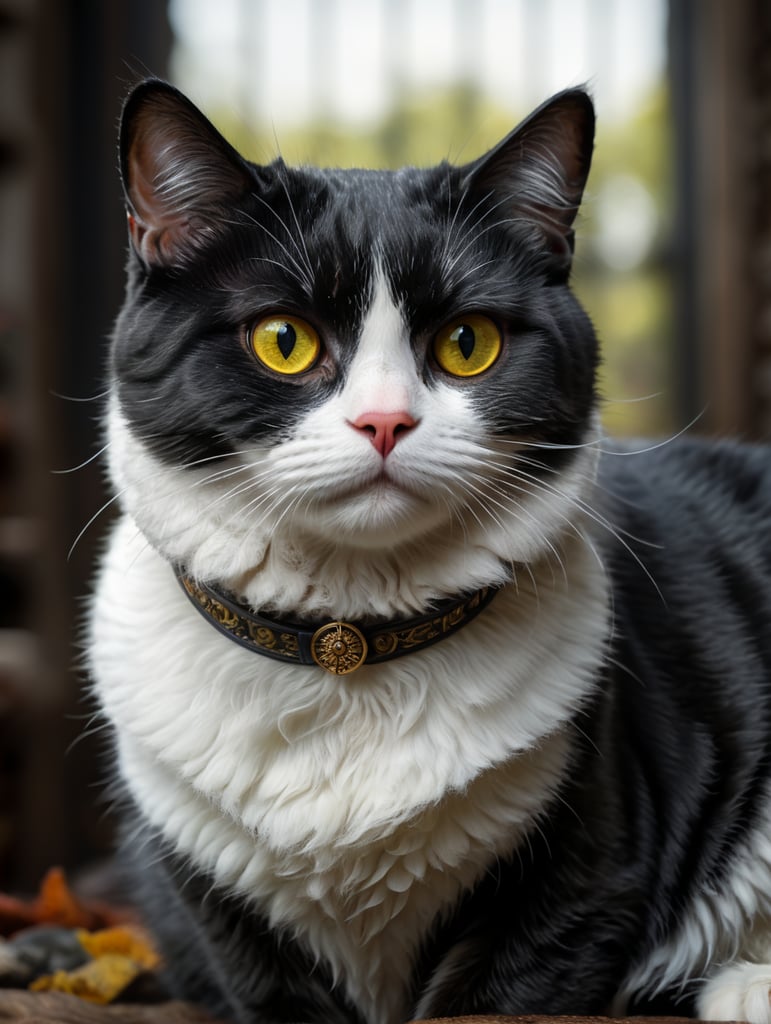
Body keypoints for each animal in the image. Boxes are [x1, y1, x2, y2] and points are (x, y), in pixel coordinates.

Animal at [88, 79, 769, 1024]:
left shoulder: (580, 879)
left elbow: (502, 991)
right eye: (283, 340)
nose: (385, 421)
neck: (349, 643)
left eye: (466, 343)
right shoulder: (217, 911)